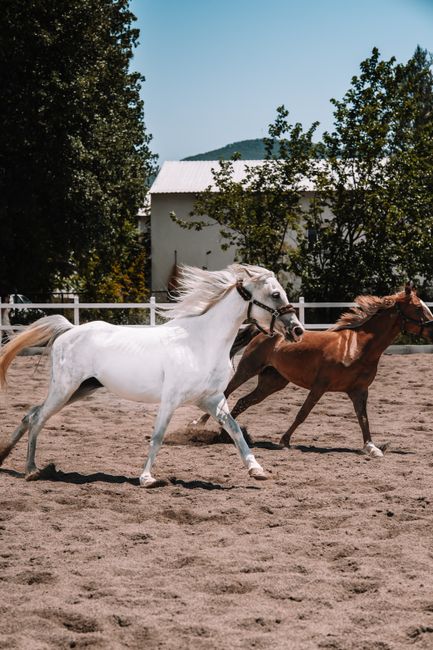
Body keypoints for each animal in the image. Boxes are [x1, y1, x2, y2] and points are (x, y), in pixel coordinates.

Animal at [0, 264, 304, 487]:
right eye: (275, 294)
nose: (297, 330)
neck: (201, 342)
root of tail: (69, 329)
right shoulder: (171, 399)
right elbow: (157, 436)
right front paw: (147, 478)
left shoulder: (212, 400)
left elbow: (235, 430)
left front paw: (257, 470)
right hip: (65, 389)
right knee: (37, 418)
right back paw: (31, 470)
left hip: (81, 389)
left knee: (30, 413)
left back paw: (5, 459)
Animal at [194, 284, 433, 458]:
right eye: (419, 308)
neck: (357, 347)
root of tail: (264, 331)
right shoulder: (320, 386)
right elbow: (303, 413)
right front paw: (284, 441)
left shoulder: (359, 391)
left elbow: (363, 418)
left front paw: (371, 448)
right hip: (248, 369)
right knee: (227, 393)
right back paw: (198, 425)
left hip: (272, 382)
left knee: (243, 401)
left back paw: (226, 434)